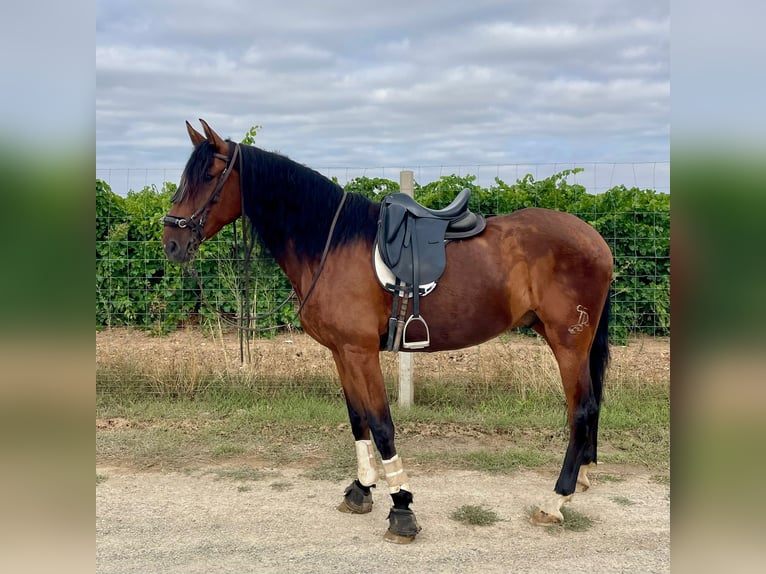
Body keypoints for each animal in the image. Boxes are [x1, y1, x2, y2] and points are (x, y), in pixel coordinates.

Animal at [162, 120, 612, 544]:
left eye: (208, 176)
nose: (171, 243)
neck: (331, 244)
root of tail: (595, 239)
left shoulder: (361, 352)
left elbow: (382, 425)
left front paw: (402, 508)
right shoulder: (342, 352)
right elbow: (357, 418)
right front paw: (362, 490)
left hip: (568, 342)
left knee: (581, 409)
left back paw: (556, 499)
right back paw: (580, 478)